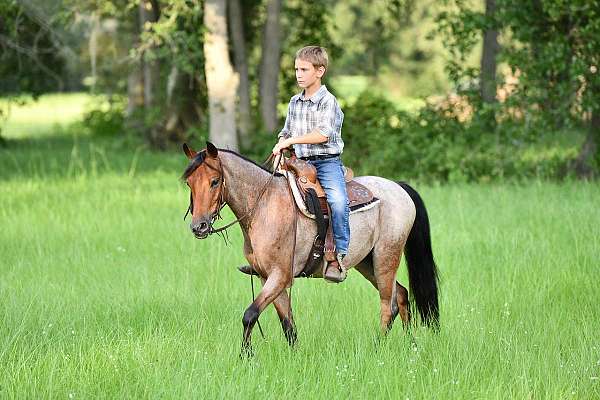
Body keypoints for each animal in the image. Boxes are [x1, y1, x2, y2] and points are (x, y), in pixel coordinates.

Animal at [180, 142, 438, 354]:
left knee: (388, 305)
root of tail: (399, 187)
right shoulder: (266, 277)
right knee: (402, 295)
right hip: (367, 263)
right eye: (189, 183)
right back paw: (411, 345)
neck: (264, 206)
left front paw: (245, 356)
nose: (198, 226)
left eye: (214, 181)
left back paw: (377, 349)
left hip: (386, 257)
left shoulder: (280, 276)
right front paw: (295, 356)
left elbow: (250, 314)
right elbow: (287, 323)